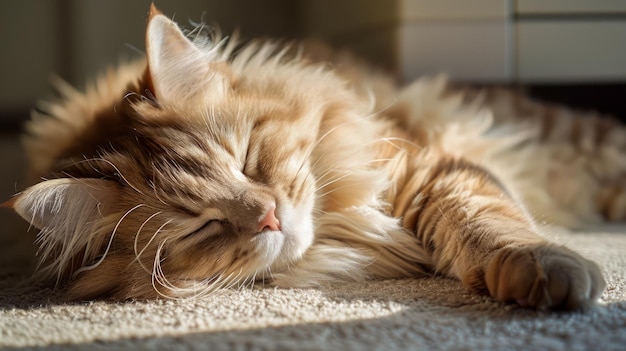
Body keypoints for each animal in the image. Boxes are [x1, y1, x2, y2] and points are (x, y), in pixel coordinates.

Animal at [7, 3, 620, 310]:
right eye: (199, 226)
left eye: (248, 160)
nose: (269, 215)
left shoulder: (427, 169)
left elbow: (488, 222)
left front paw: (543, 268)